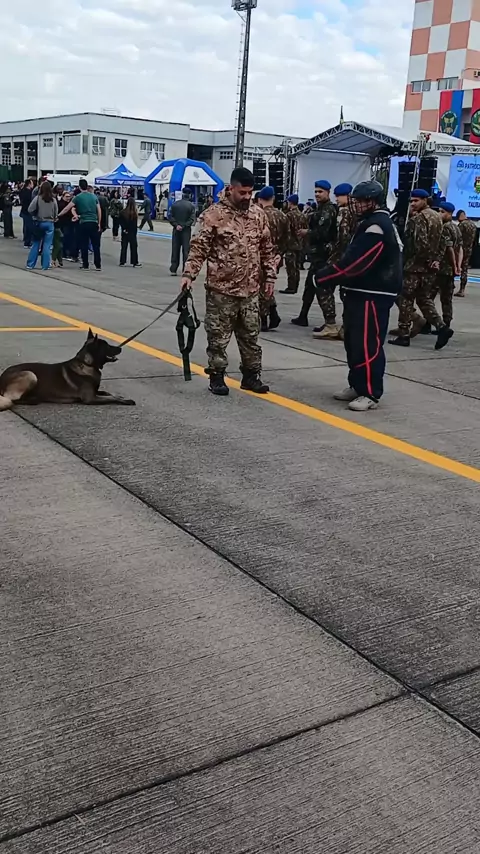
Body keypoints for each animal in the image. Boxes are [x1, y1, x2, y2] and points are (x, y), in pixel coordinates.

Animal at [0, 328, 135, 411]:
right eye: (107, 346)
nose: (120, 348)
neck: (87, 364)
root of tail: (2, 377)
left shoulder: (95, 392)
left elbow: (108, 393)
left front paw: (120, 396)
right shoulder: (90, 398)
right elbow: (111, 398)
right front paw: (126, 400)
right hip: (30, 374)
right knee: (12, 399)